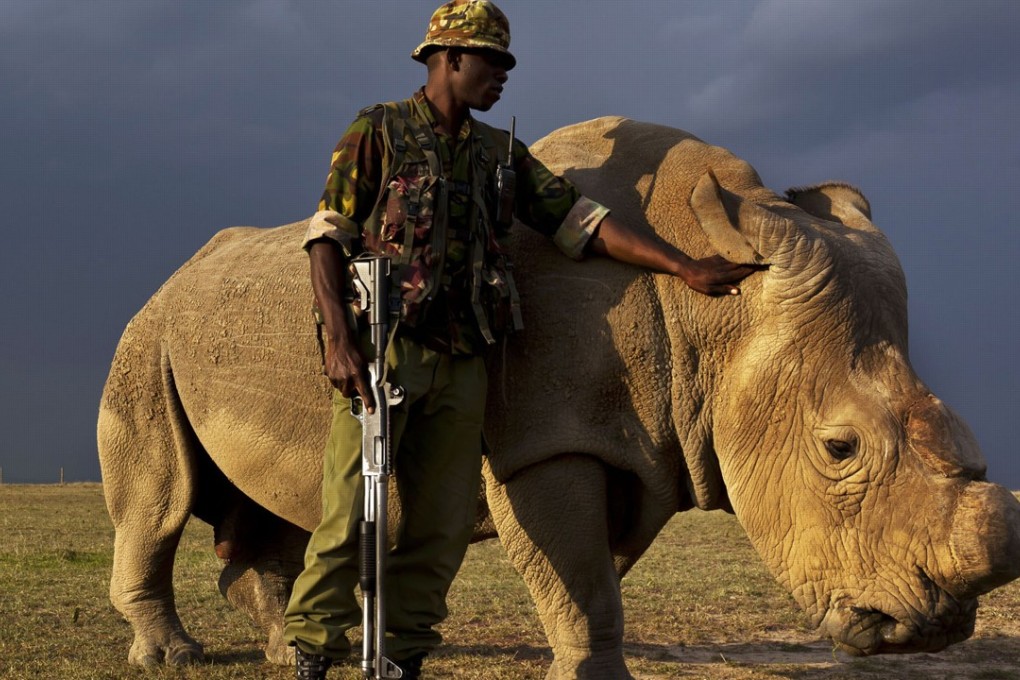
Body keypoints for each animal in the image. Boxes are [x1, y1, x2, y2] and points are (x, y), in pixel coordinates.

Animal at [98, 117, 1020, 679]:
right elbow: (577, 572)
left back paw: (285, 649)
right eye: (838, 449)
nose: (937, 629)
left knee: (282, 506)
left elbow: (590, 572)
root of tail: (171, 280)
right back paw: (176, 657)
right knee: (161, 496)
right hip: (145, 339)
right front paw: (591, 673)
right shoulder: (544, 441)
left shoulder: (642, 440)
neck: (712, 320)